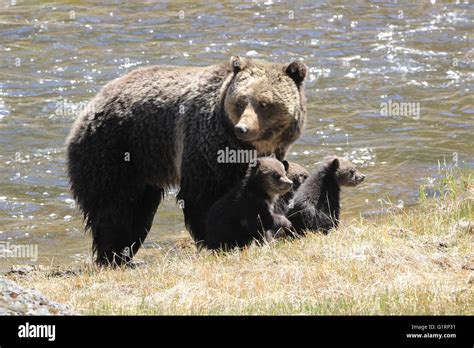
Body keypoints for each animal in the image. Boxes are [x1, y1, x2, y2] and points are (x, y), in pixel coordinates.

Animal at [65, 55, 308, 266]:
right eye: (240, 102)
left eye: (264, 103)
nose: (243, 128)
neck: (245, 147)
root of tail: (93, 103)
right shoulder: (207, 145)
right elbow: (203, 198)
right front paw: (219, 239)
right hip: (114, 149)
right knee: (115, 208)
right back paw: (112, 256)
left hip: (143, 166)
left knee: (137, 209)